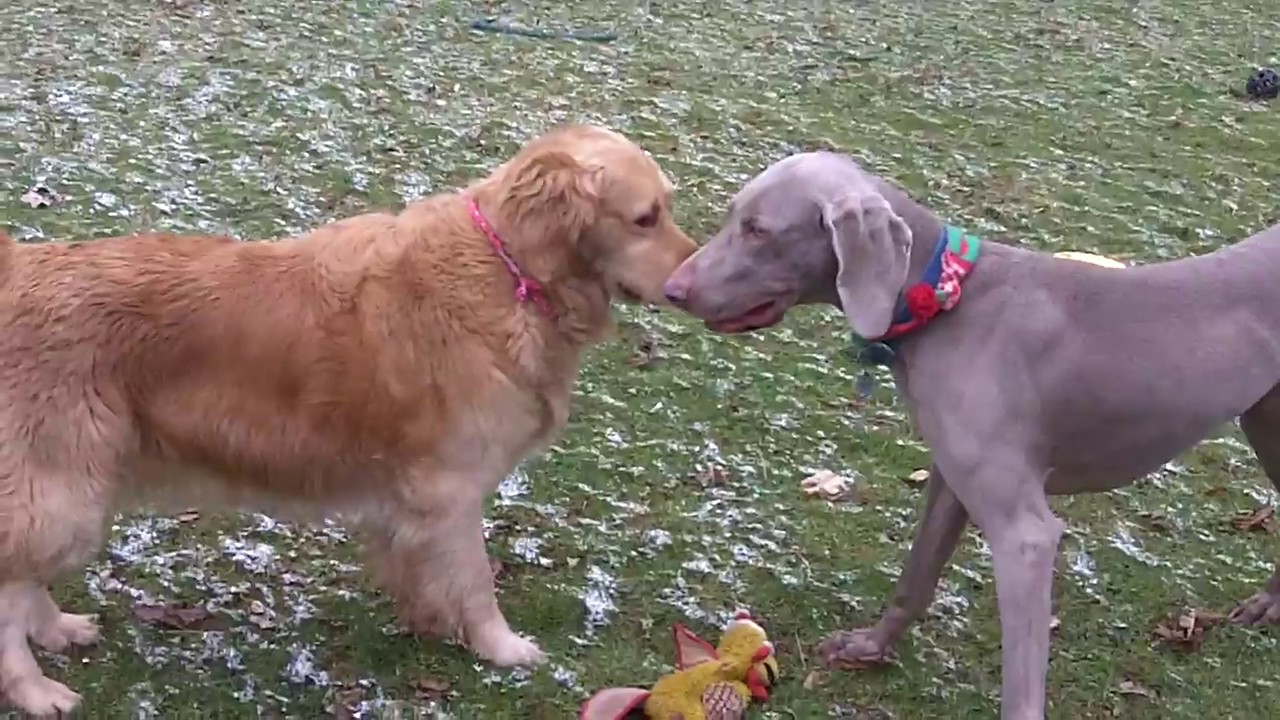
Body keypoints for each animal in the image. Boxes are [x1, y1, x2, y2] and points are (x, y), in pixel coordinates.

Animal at [0, 122, 696, 712]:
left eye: (666, 207)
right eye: (645, 218)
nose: (689, 282)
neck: (509, 271)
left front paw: (430, 622)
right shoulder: (450, 488)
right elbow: (475, 583)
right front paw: (501, 648)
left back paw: (57, 629)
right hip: (60, 488)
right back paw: (35, 691)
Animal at [660, 149, 1280, 712]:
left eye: (758, 230)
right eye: (734, 216)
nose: (671, 290)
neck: (945, 297)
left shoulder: (1025, 537)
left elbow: (1022, 686)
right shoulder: (951, 479)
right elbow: (915, 575)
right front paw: (869, 647)